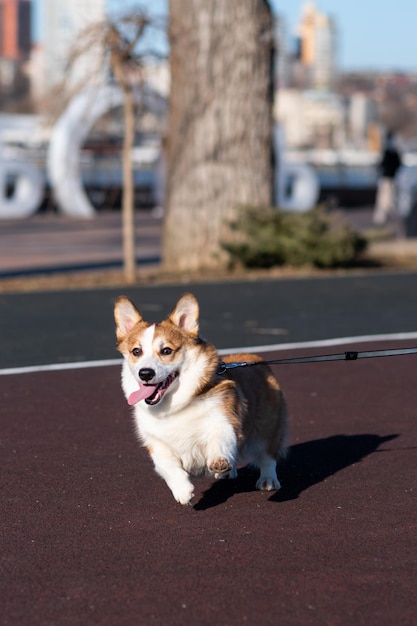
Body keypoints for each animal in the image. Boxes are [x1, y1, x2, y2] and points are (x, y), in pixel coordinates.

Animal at [115, 292, 288, 502]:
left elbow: (220, 440)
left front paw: (219, 462)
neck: (174, 406)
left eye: (166, 351)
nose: (145, 373)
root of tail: (256, 359)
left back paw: (267, 480)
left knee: (267, 455)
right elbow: (168, 466)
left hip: (266, 429)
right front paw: (183, 491)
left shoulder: (224, 421)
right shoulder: (156, 443)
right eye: (136, 352)